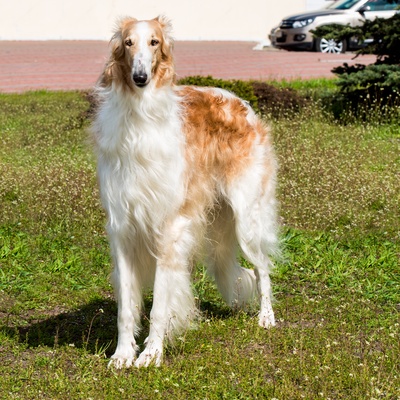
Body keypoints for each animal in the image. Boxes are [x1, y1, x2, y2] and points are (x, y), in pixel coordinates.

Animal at [91, 16, 278, 368]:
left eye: (154, 42)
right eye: (128, 43)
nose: (140, 78)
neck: (141, 119)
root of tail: (240, 102)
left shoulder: (170, 227)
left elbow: (160, 304)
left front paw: (151, 354)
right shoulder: (122, 227)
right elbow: (126, 307)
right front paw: (123, 354)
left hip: (247, 217)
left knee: (262, 267)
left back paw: (267, 317)